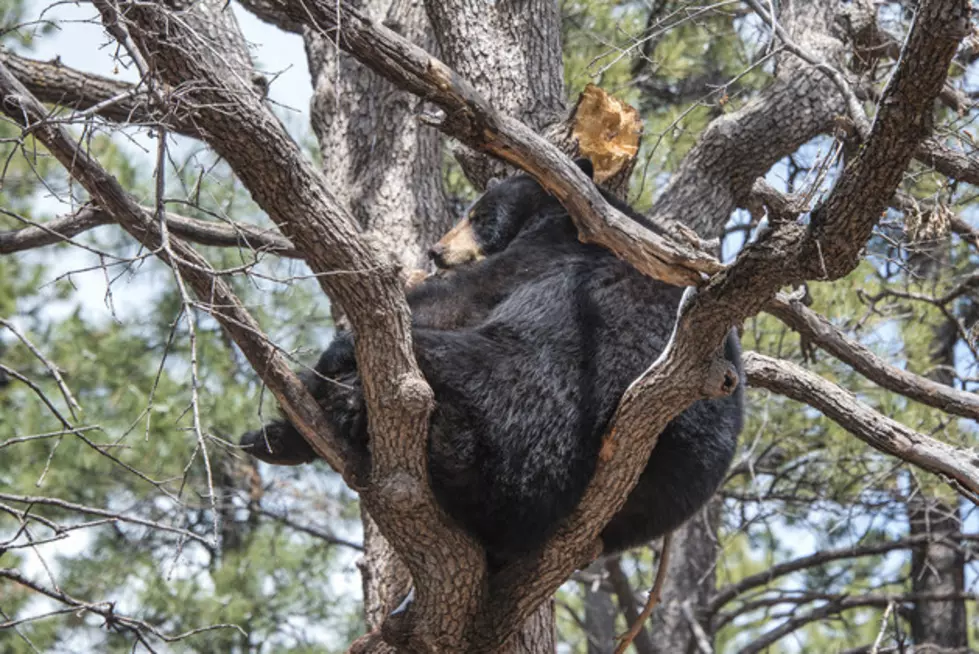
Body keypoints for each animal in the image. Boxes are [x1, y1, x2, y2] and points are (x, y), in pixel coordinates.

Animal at [243, 163, 744, 568]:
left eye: (479, 215)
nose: (436, 250)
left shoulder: (549, 252)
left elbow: (460, 297)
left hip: (502, 396)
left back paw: (319, 413)